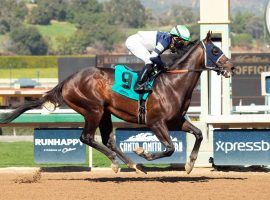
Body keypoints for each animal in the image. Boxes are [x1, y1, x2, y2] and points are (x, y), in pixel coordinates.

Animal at [0, 32, 233, 173]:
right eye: (215, 51)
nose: (231, 67)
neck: (173, 84)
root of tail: (67, 81)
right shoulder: (156, 123)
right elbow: (169, 148)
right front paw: (143, 152)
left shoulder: (176, 120)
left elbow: (199, 134)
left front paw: (190, 164)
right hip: (93, 109)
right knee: (87, 137)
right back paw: (118, 162)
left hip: (104, 112)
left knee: (107, 140)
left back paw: (133, 165)